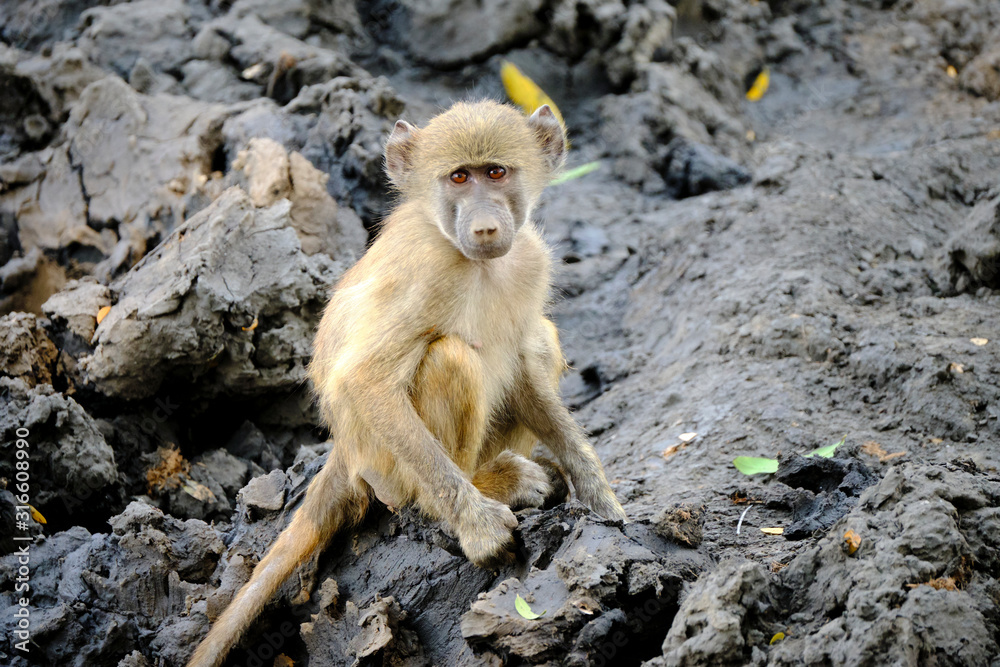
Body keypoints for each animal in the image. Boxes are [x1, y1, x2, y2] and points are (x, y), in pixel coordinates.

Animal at [187, 100, 627, 667]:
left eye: (496, 173)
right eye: (459, 177)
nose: (486, 228)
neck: (475, 263)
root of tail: (346, 451)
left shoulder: (530, 262)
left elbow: (527, 369)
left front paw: (600, 500)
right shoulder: (427, 271)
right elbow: (365, 380)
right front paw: (478, 527)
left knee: (541, 339)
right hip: (389, 467)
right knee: (449, 361)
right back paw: (488, 486)